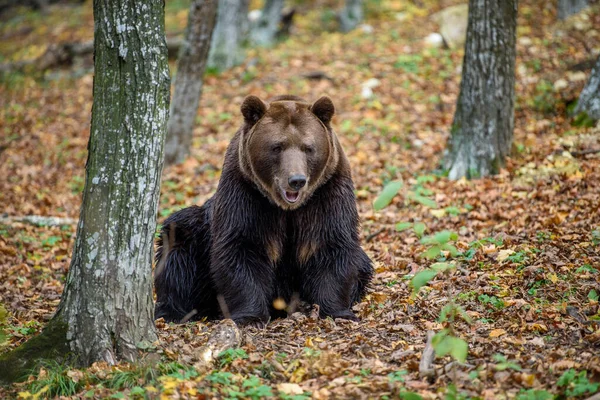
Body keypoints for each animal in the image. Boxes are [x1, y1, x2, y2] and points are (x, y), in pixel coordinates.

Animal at [155, 95, 370, 326]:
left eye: (308, 147)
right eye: (277, 146)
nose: (296, 180)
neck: (287, 209)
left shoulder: (327, 192)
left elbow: (331, 245)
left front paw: (337, 312)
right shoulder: (246, 194)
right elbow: (243, 247)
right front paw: (250, 317)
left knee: (364, 264)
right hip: (198, 236)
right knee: (178, 244)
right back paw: (174, 311)